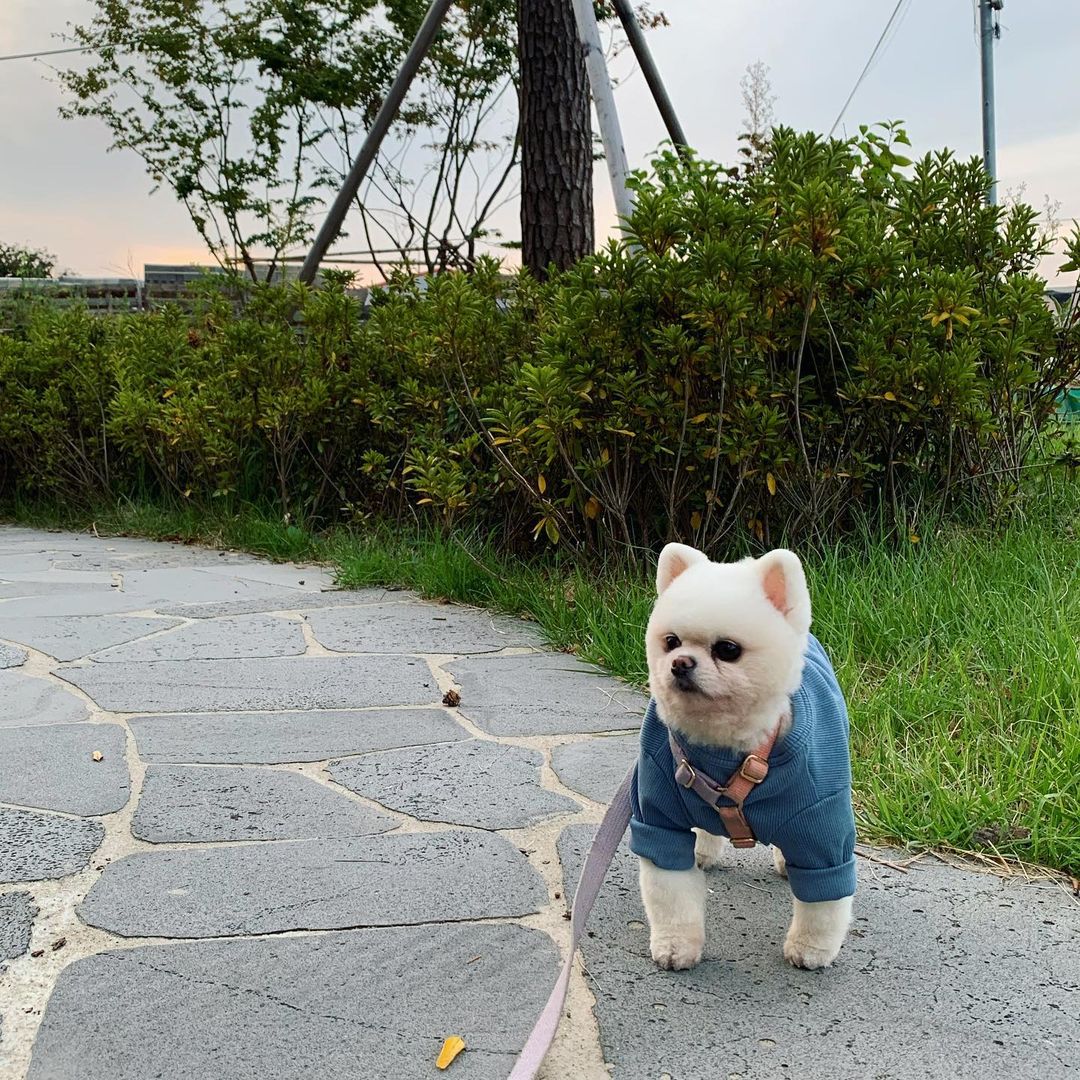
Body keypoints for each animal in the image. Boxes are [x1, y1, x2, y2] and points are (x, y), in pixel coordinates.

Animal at [629, 543, 856, 971]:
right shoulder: (659, 818)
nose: (680, 663)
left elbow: (823, 904)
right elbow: (672, 896)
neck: (724, 750)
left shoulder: (822, 825)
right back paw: (703, 850)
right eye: (670, 641)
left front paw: (811, 948)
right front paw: (676, 945)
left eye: (728, 650)